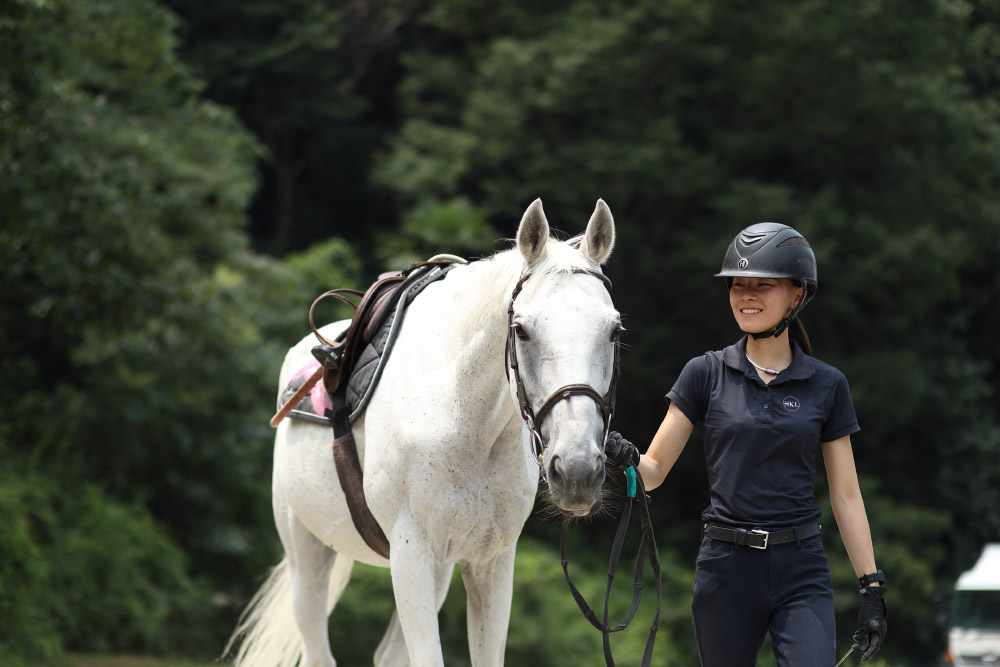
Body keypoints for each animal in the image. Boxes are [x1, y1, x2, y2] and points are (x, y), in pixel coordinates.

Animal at [227, 198, 621, 667]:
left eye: (614, 331)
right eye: (522, 330)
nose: (578, 471)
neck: (465, 418)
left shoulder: (488, 563)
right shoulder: (412, 553)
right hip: (308, 552)